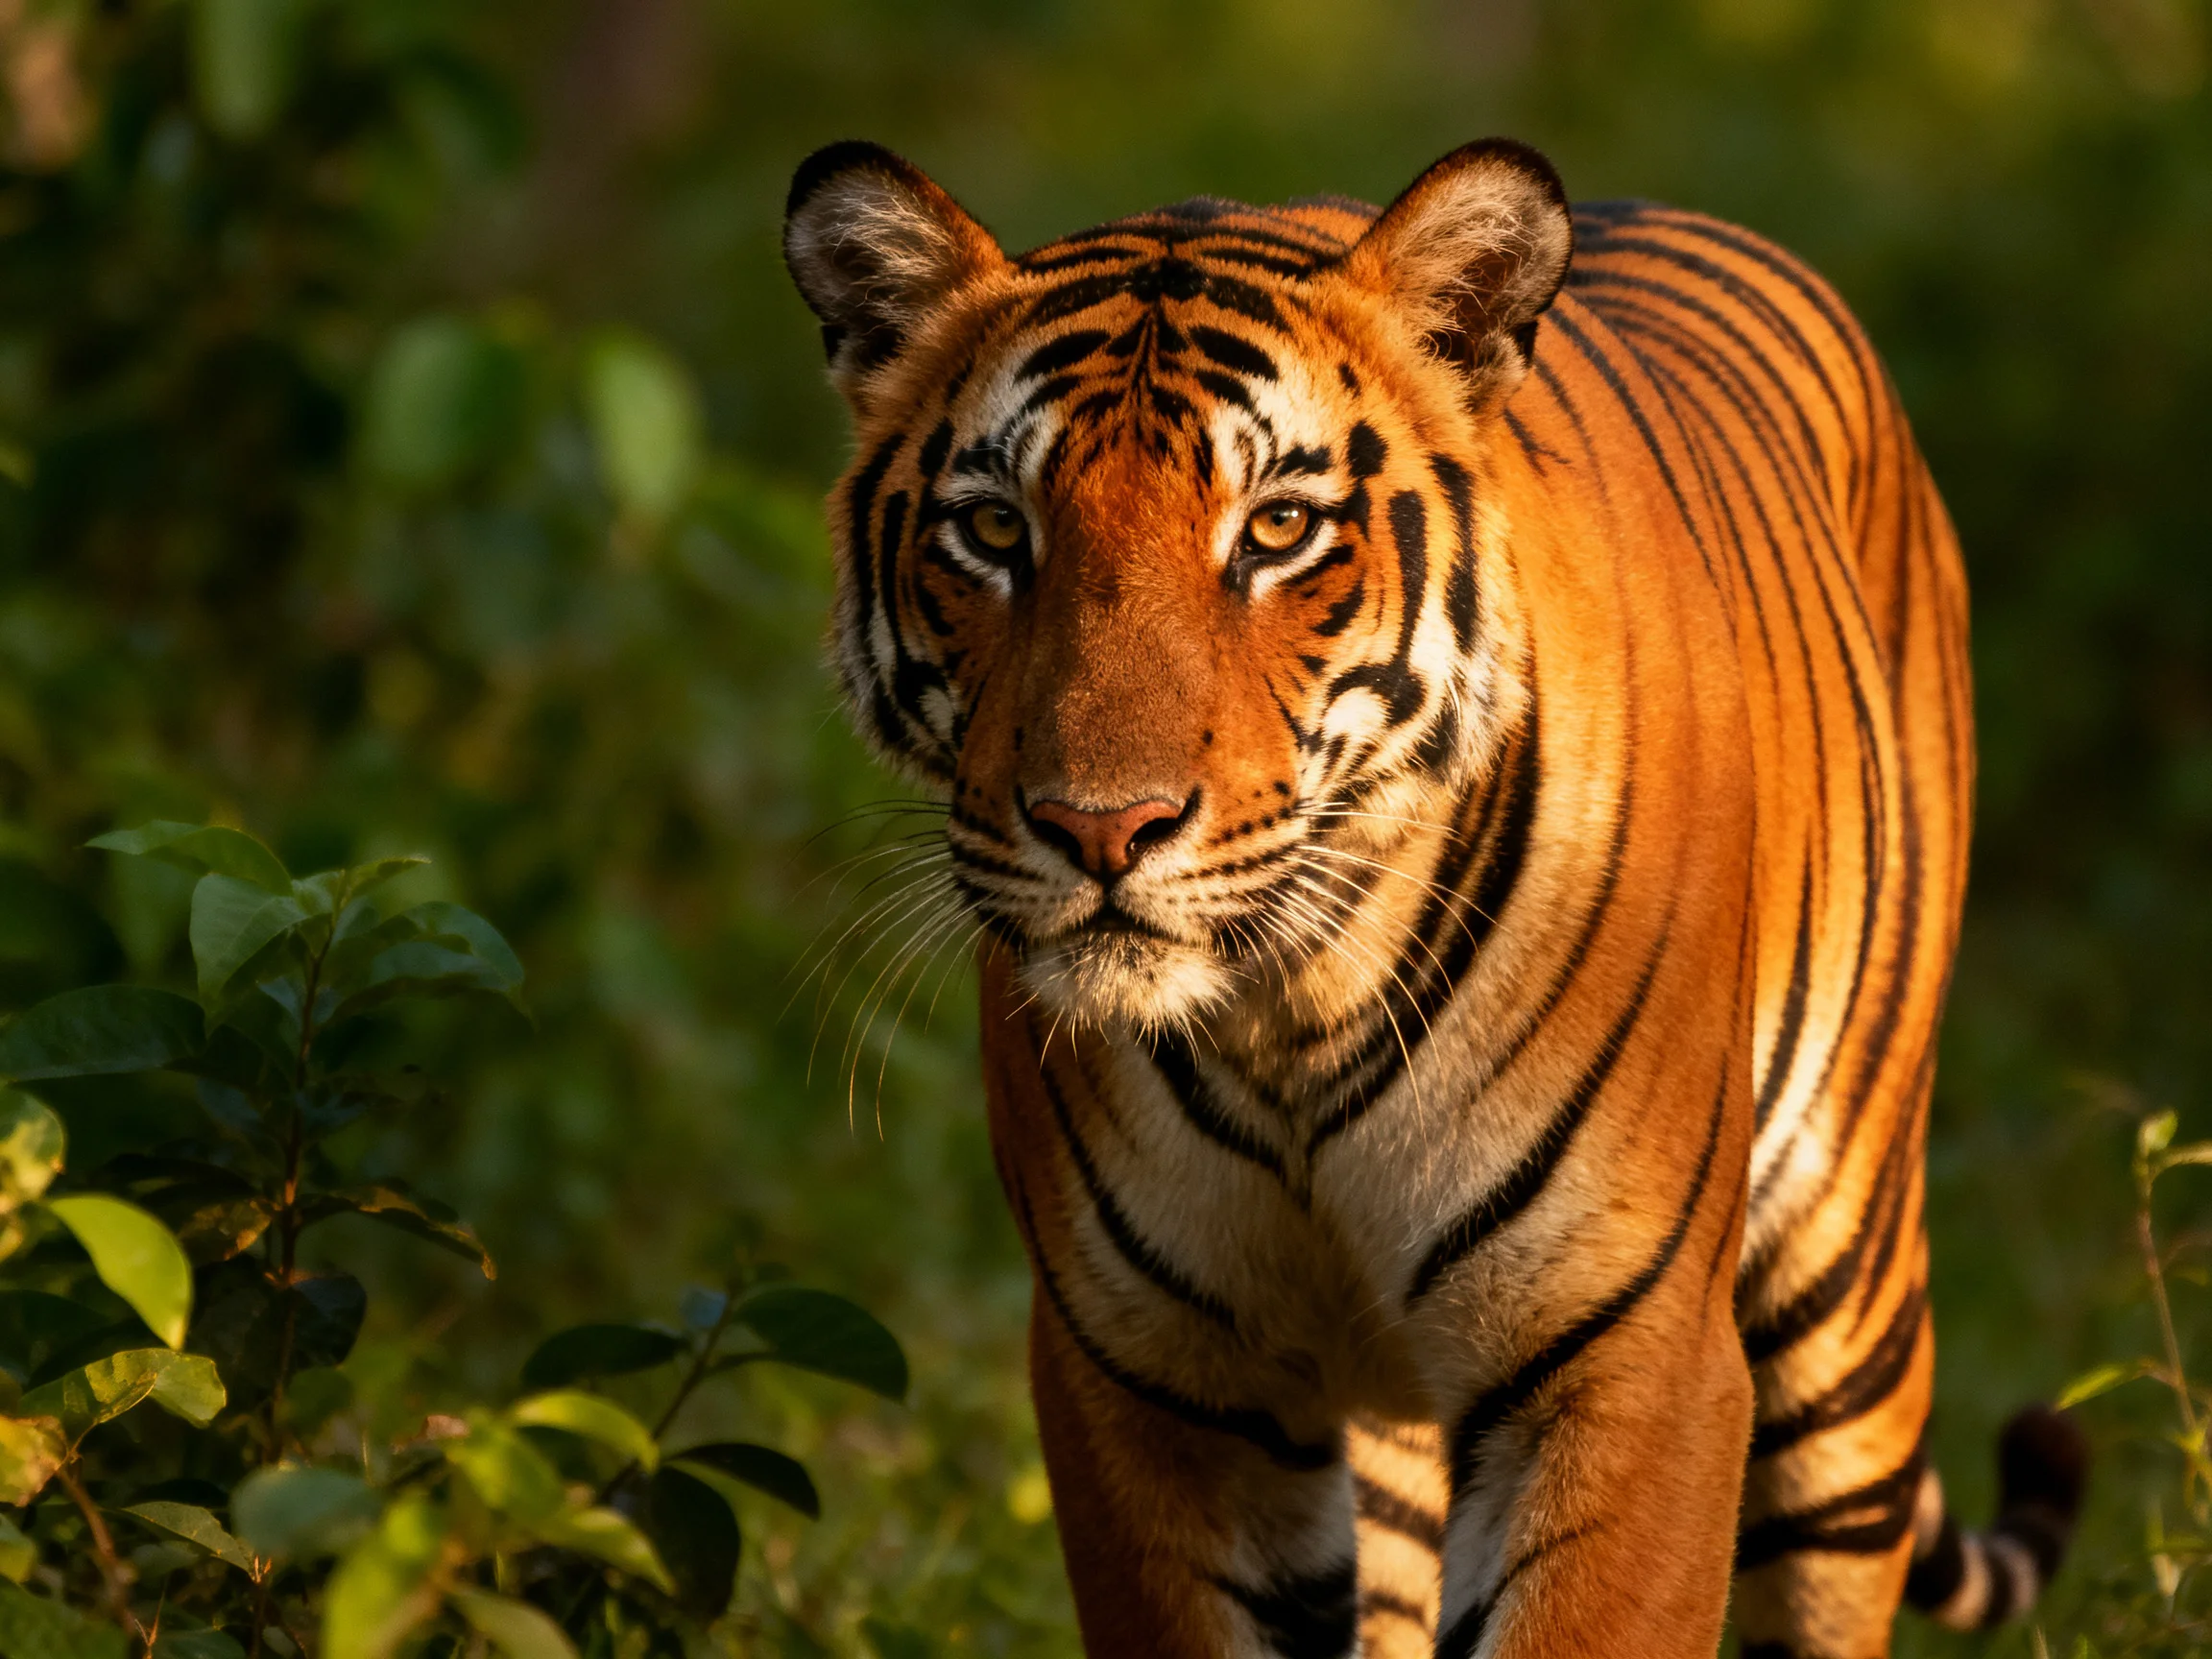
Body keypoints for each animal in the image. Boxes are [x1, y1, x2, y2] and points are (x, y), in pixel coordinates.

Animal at [781, 136, 2088, 1659]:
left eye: (1278, 528)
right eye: (995, 529)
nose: (1103, 829)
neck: (1283, 1012)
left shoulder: (1627, 1356)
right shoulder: (1151, 1377)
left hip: (1843, 1302)